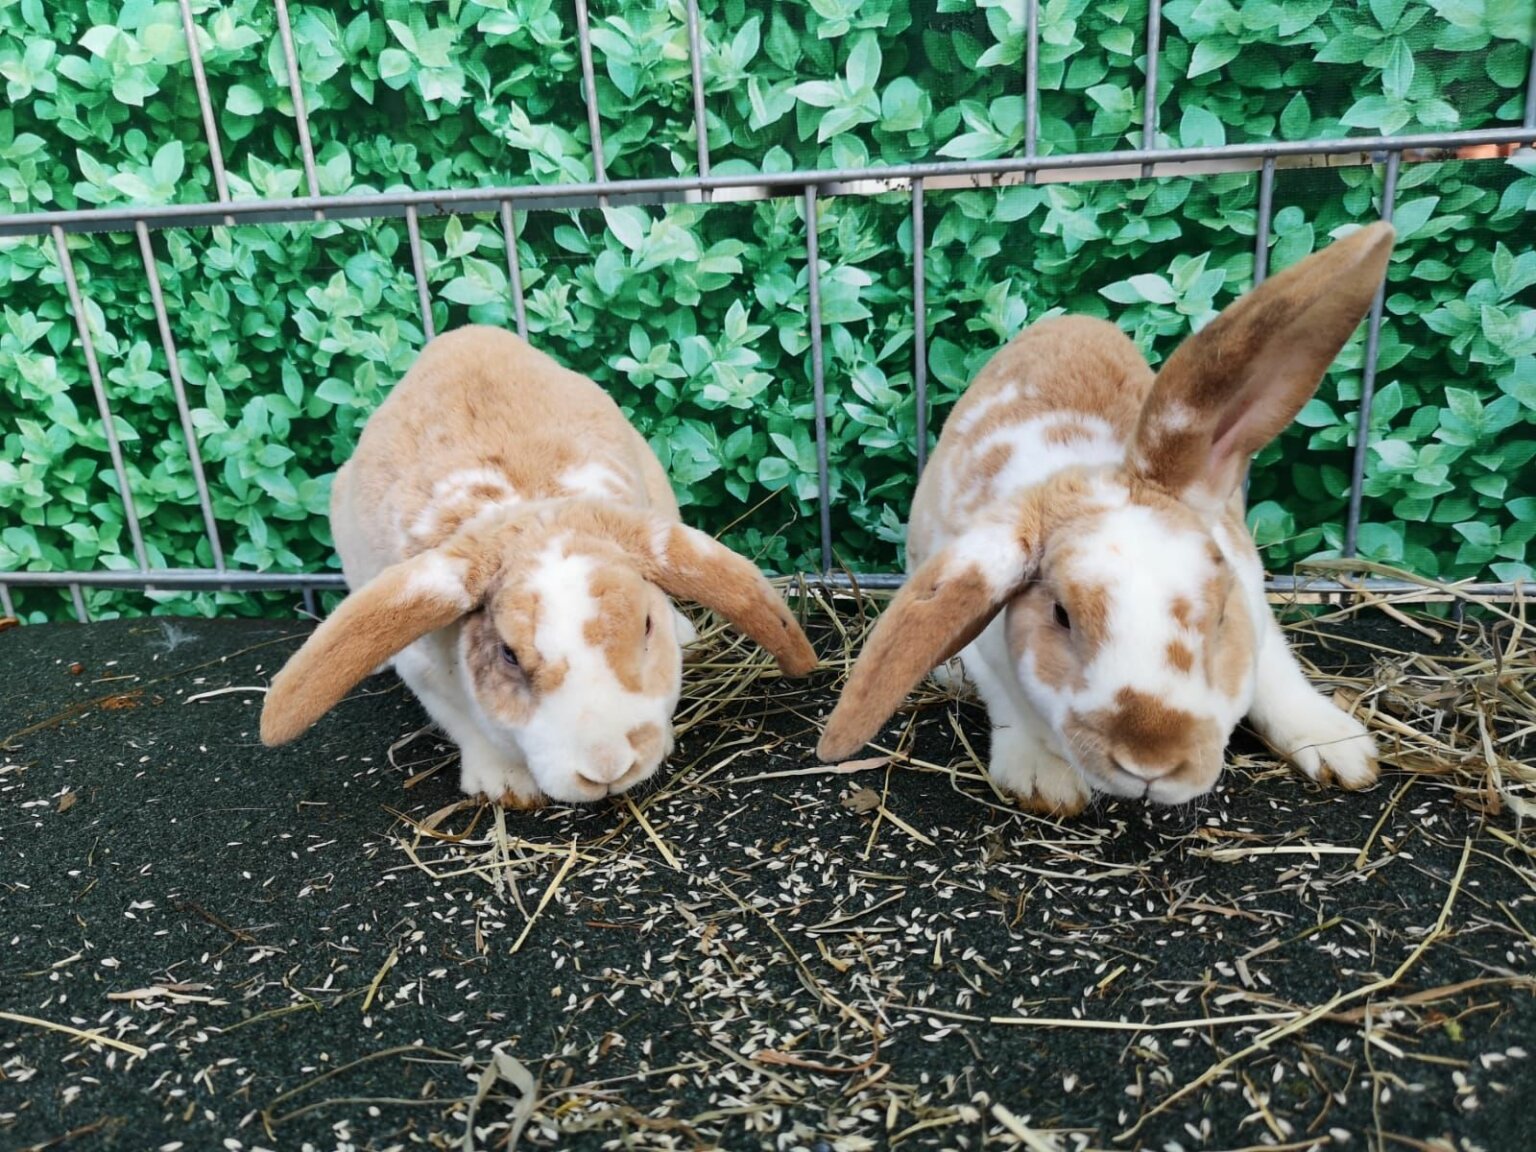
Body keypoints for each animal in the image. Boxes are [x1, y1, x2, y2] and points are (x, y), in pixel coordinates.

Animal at [260, 325, 818, 806]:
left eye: (645, 625)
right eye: (508, 655)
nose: (607, 768)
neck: (532, 512)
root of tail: (463, 334)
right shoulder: (425, 670)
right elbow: (465, 725)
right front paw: (505, 787)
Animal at [817, 222, 1396, 814]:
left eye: (1219, 618)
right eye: (1061, 615)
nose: (1150, 762)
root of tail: (1068, 318)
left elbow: (1276, 673)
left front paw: (1340, 748)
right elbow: (1009, 704)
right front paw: (1042, 776)